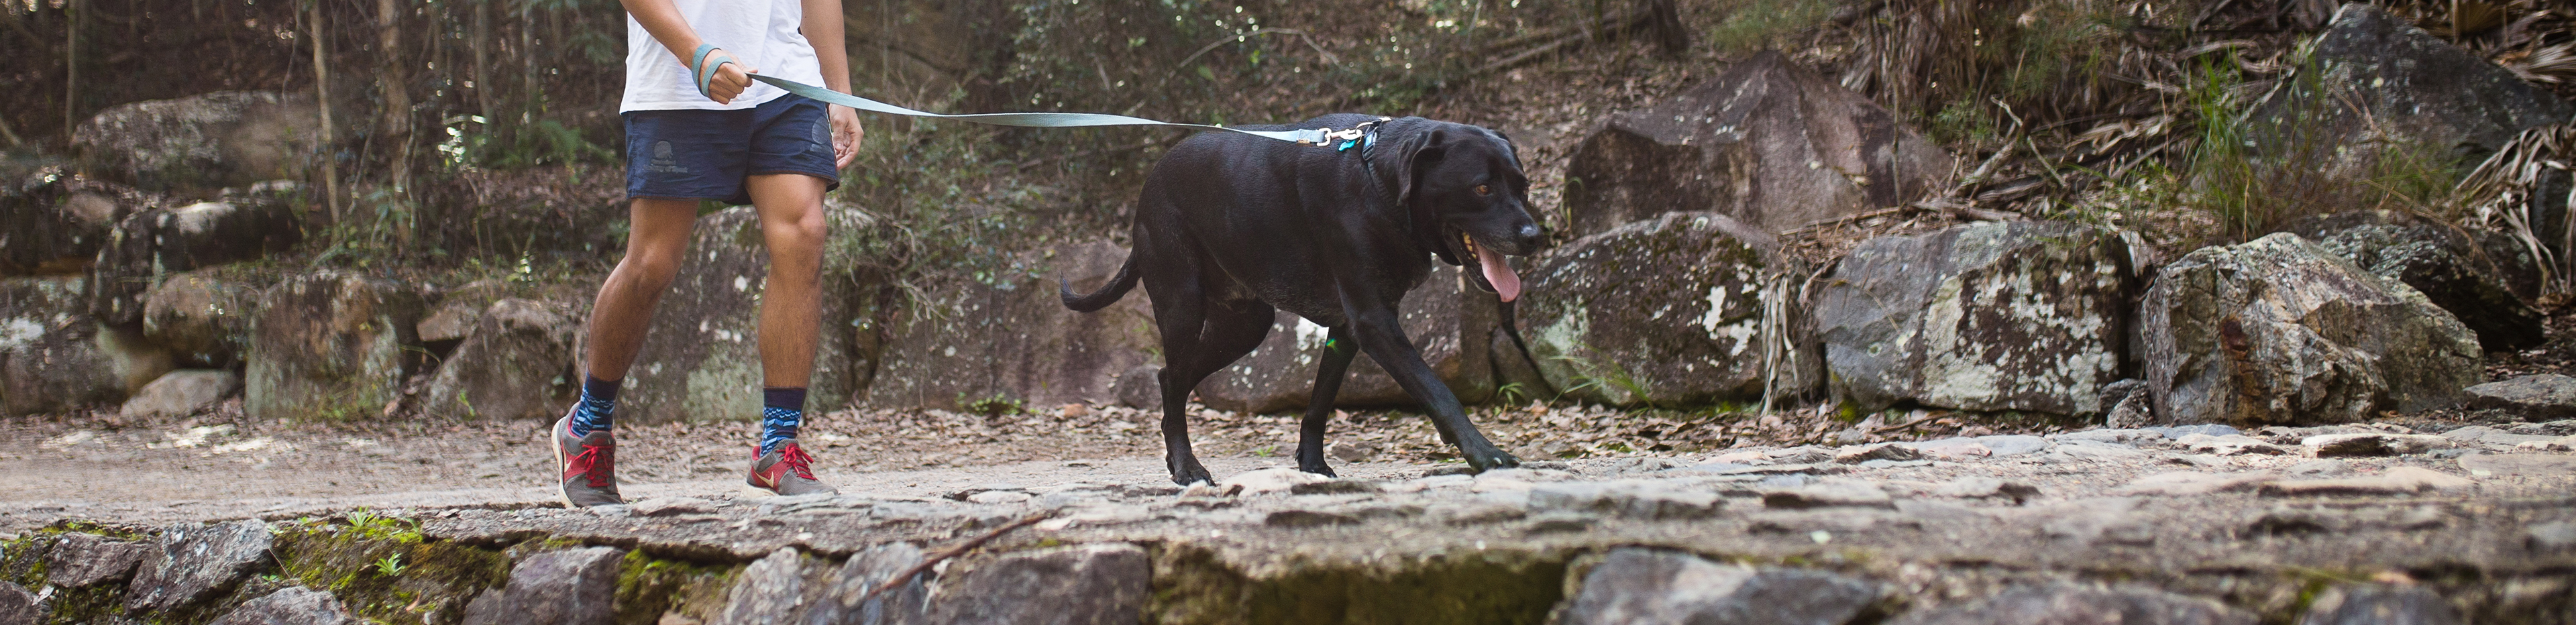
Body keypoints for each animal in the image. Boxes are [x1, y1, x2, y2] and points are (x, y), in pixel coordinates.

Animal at [1066, 113, 1546, 484]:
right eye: (1482, 188)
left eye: (1523, 186)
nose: (1534, 236)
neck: (1378, 181)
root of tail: (1149, 186)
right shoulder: (1374, 322)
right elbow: (1437, 390)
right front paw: (1484, 453)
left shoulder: (1348, 327)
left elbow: (1320, 401)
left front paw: (1312, 464)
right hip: (1182, 307)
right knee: (1175, 380)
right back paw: (1187, 466)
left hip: (1245, 327)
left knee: (1172, 379)